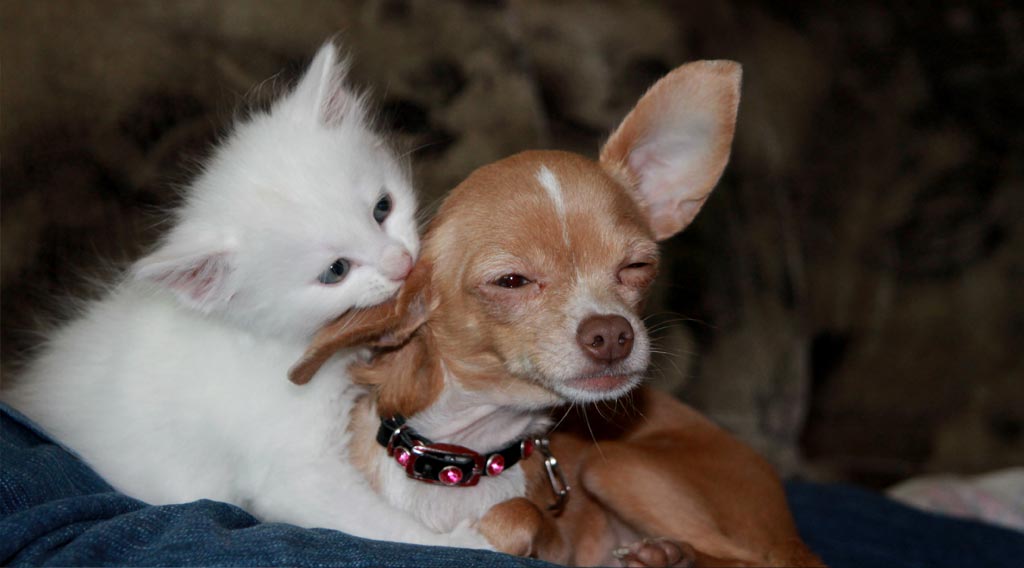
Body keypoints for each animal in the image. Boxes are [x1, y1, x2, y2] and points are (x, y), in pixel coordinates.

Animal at [2, 42, 487, 548]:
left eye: (382, 208)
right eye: (335, 271)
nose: (402, 263)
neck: (267, 340)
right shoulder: (292, 469)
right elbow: (380, 525)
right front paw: (465, 543)